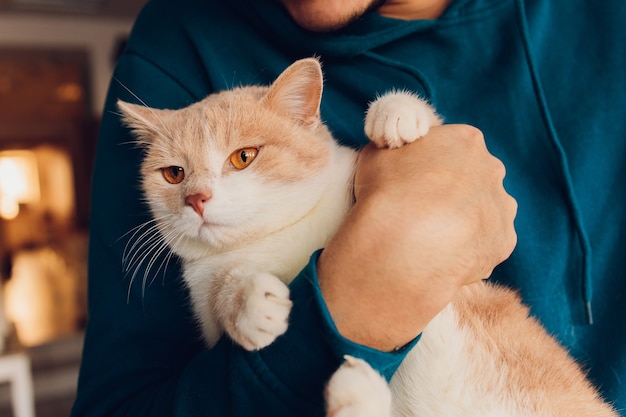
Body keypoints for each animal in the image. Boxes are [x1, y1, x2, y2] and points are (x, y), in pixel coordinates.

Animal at [119, 58, 616, 416]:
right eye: (173, 174)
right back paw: (356, 391)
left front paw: (397, 112)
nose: (197, 198)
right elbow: (224, 291)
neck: (284, 230)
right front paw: (249, 304)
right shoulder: (205, 297)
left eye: (243, 157)